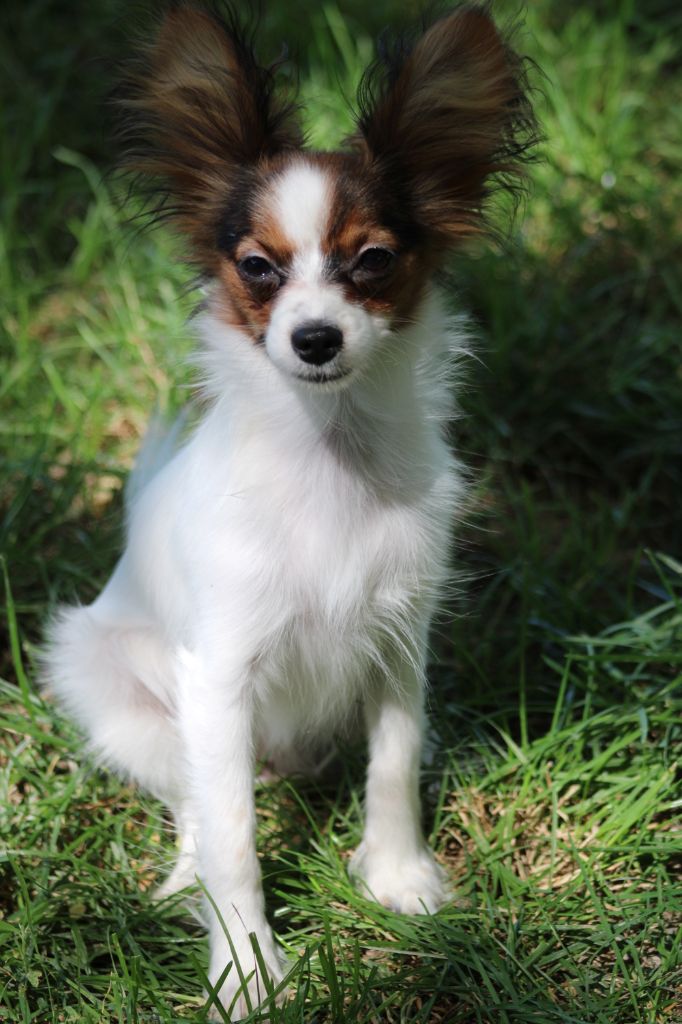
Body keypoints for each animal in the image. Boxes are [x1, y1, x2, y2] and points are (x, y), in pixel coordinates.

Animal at [44, 3, 534, 1017]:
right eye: (258, 268)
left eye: (374, 261)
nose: (314, 338)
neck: (329, 458)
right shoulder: (220, 673)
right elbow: (234, 834)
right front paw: (246, 970)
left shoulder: (399, 637)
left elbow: (395, 760)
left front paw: (397, 876)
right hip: (117, 695)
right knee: (193, 801)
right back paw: (184, 880)